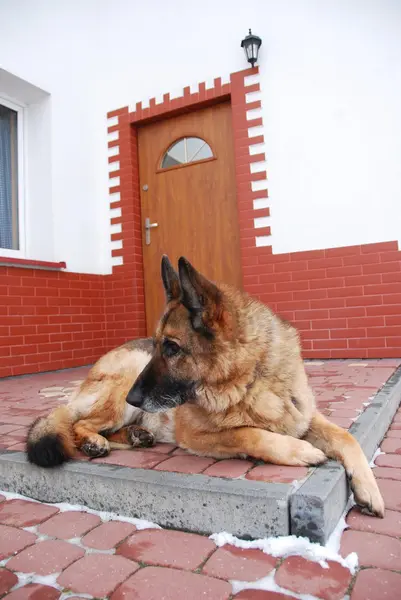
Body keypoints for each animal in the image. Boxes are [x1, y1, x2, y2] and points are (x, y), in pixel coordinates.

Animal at [26, 255, 382, 516]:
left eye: (171, 348)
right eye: (157, 345)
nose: (134, 398)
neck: (249, 379)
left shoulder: (302, 416)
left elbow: (346, 437)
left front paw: (369, 489)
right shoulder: (194, 434)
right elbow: (248, 433)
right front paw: (300, 450)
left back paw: (134, 436)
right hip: (123, 385)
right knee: (79, 423)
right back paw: (95, 441)